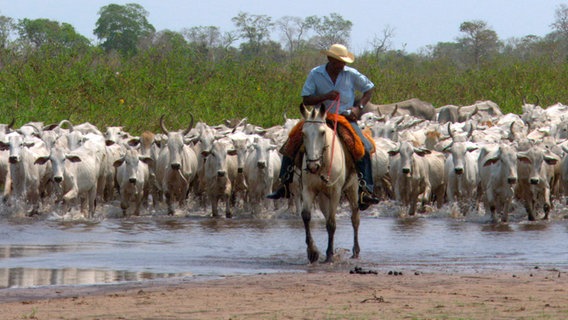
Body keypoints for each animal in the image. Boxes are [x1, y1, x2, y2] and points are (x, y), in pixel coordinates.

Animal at [300, 104, 362, 264]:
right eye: (303, 133)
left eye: (322, 133)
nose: (312, 166)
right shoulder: (308, 189)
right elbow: (306, 216)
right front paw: (312, 252)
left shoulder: (336, 192)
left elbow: (331, 223)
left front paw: (329, 255)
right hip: (323, 196)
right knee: (327, 214)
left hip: (352, 188)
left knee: (355, 218)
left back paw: (356, 251)